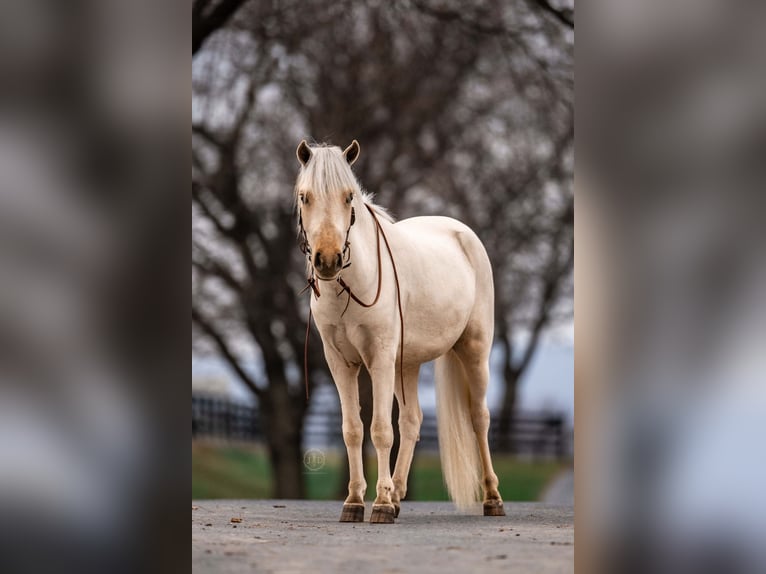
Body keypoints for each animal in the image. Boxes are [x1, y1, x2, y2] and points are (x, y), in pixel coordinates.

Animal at [296, 141, 508, 528]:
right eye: (305, 196)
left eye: (348, 196)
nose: (328, 261)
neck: (351, 287)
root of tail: (462, 233)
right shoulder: (341, 363)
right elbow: (353, 429)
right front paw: (355, 502)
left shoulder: (379, 358)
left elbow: (380, 429)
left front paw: (379, 504)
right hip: (405, 365)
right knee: (412, 422)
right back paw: (397, 496)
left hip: (474, 351)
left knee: (479, 418)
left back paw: (492, 498)